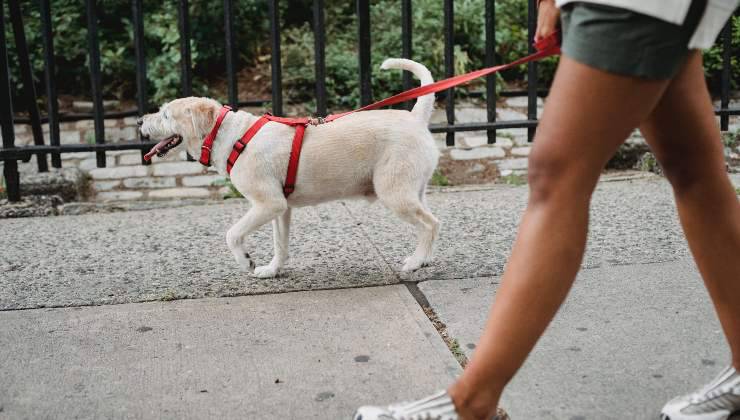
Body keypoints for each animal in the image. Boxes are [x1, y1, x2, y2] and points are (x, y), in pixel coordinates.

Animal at [139, 57, 440, 278]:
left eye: (166, 115)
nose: (140, 121)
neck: (232, 135)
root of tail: (416, 117)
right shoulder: (280, 209)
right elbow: (280, 244)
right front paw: (271, 271)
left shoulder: (268, 204)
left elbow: (232, 234)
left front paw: (246, 262)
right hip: (414, 191)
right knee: (430, 222)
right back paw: (423, 259)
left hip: (395, 193)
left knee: (430, 223)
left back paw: (415, 263)